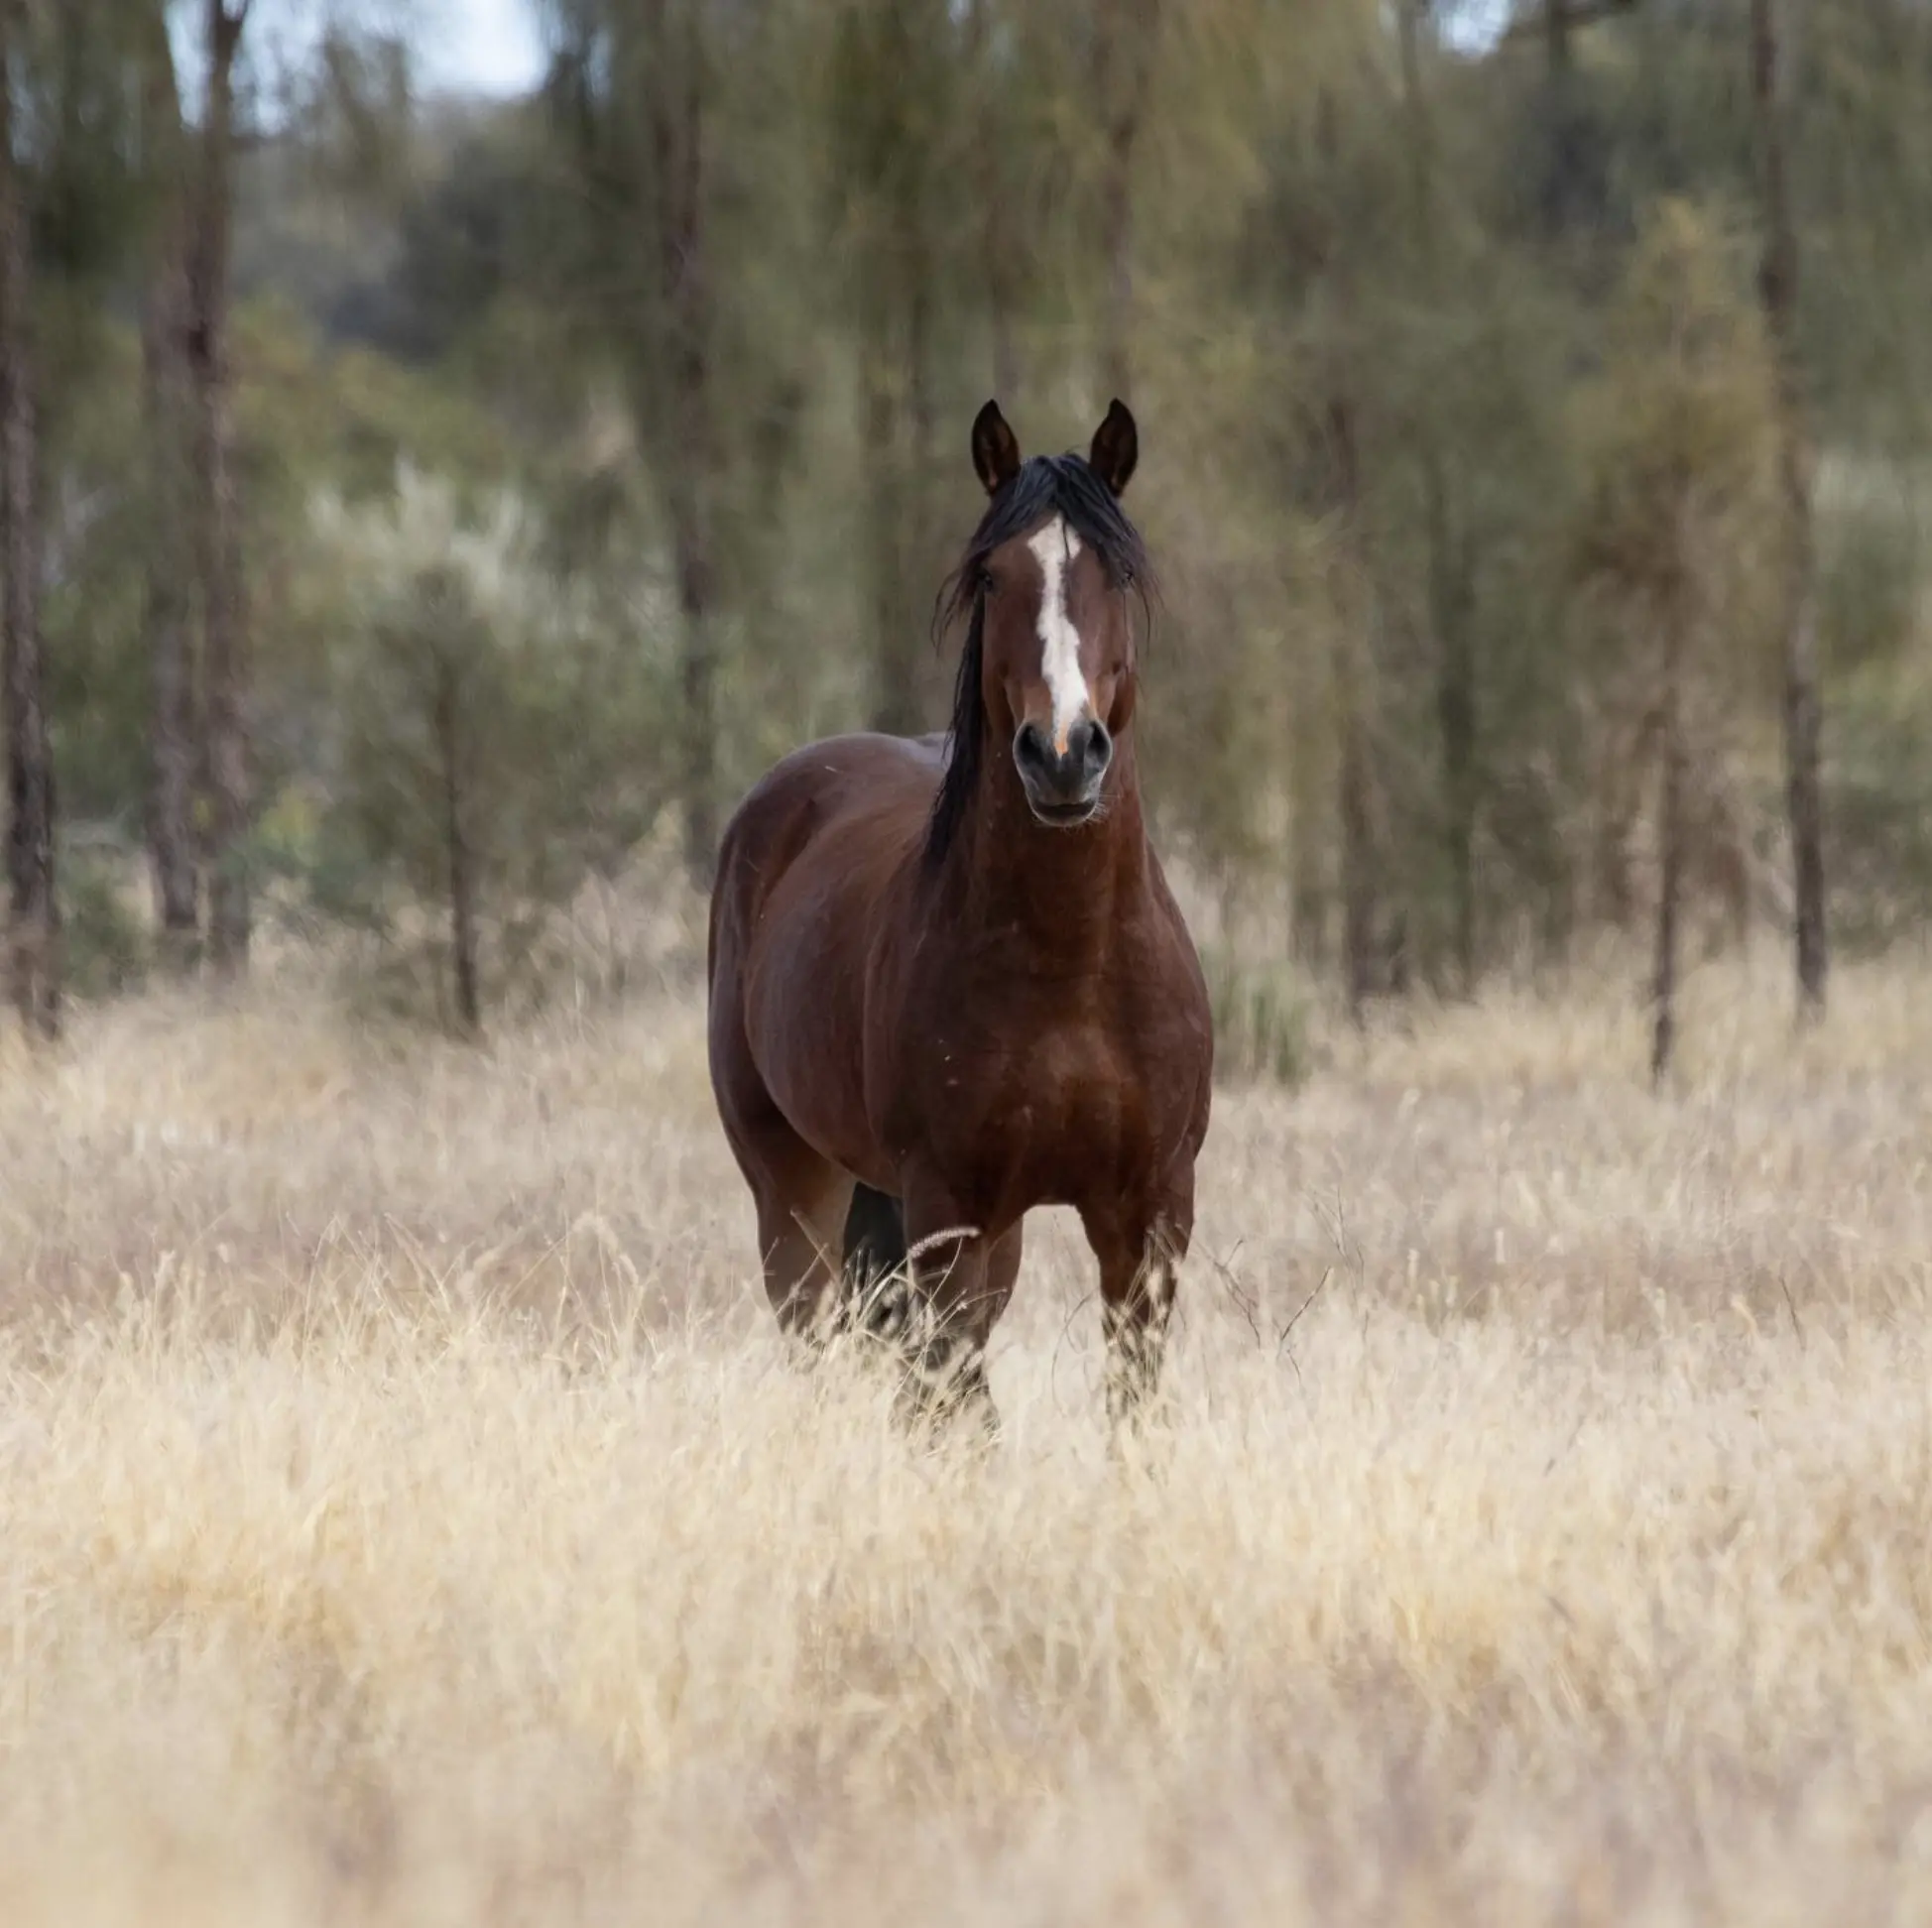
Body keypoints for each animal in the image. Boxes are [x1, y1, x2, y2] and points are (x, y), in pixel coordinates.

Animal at [703, 404, 1213, 1437]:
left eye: (1118, 572)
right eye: (990, 576)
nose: (1063, 755)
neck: (1072, 964)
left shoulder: (1150, 1215)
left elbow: (1130, 1409)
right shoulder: (946, 1209)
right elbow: (958, 1411)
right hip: (795, 1192)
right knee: (823, 1346)